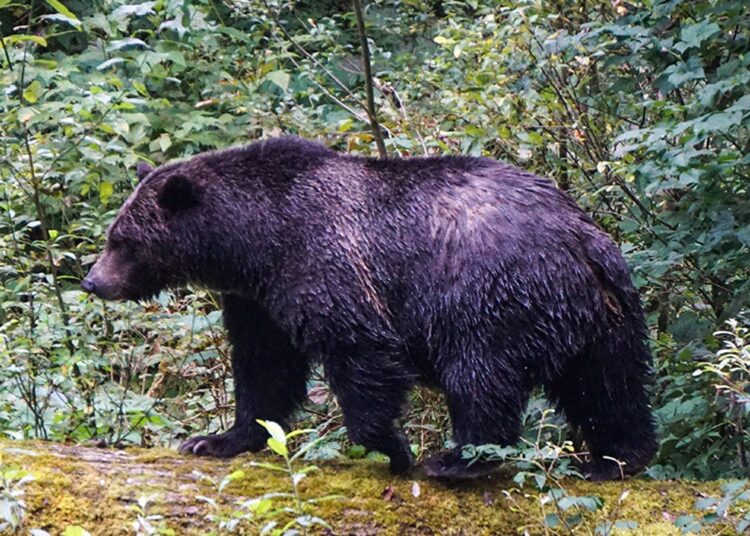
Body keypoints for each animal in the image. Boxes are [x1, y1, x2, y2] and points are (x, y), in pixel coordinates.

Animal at [82, 136, 657, 480]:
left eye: (123, 241)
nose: (93, 281)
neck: (254, 241)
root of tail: (581, 237)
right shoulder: (257, 300)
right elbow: (265, 370)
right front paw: (216, 438)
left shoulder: (325, 261)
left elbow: (359, 349)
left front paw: (393, 448)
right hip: (605, 315)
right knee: (610, 386)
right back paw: (616, 459)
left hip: (491, 296)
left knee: (481, 376)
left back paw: (456, 459)